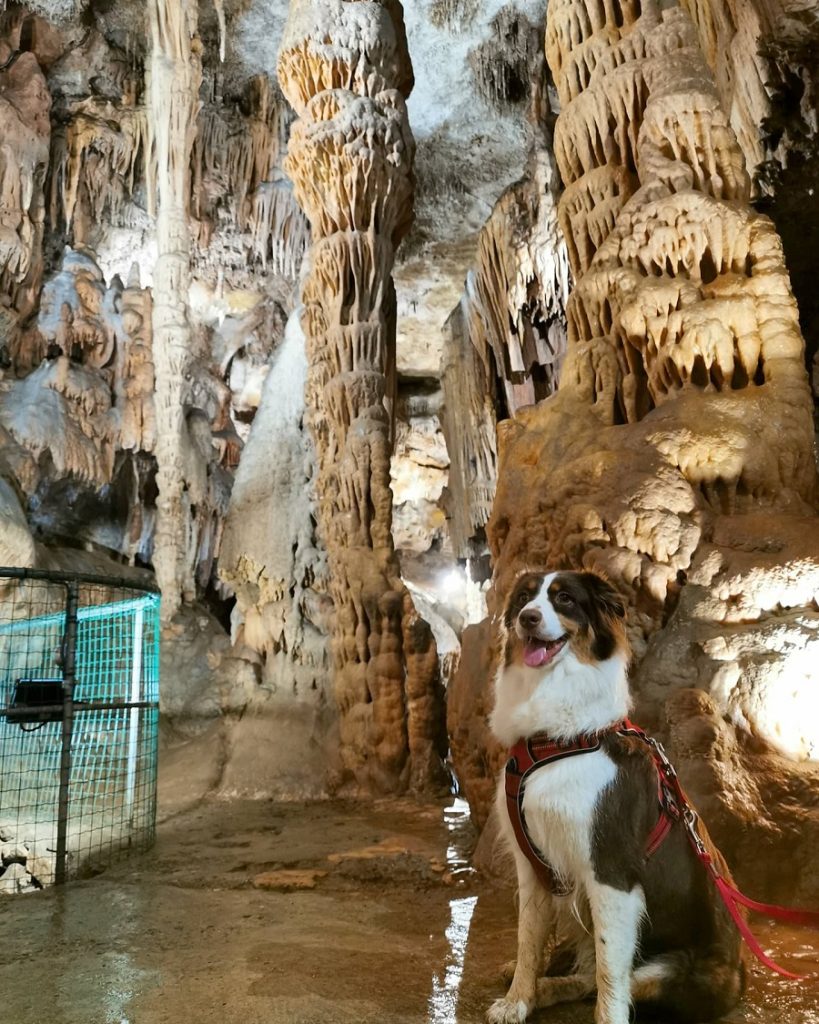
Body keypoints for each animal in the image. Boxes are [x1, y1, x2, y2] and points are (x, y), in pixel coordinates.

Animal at [487, 573, 749, 1019]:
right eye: (523, 598)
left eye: (564, 599)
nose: (528, 618)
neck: (555, 741)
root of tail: (741, 975)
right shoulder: (533, 865)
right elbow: (528, 940)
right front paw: (518, 1001)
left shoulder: (610, 873)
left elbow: (610, 973)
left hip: (676, 971)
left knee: (608, 978)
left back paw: (551, 987)